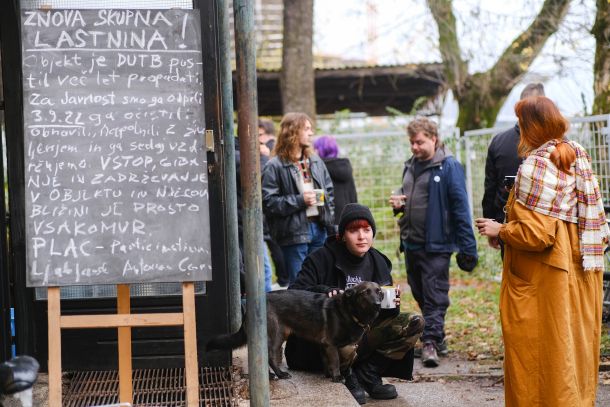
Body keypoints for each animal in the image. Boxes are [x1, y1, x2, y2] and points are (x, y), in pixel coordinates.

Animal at [207, 280, 382, 382]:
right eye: (365, 292)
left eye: (379, 291)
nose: (378, 304)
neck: (348, 311)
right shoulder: (331, 344)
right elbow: (336, 362)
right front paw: (337, 377)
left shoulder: (324, 346)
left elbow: (327, 362)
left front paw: (328, 375)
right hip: (275, 336)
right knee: (269, 356)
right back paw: (280, 374)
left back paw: (270, 375)